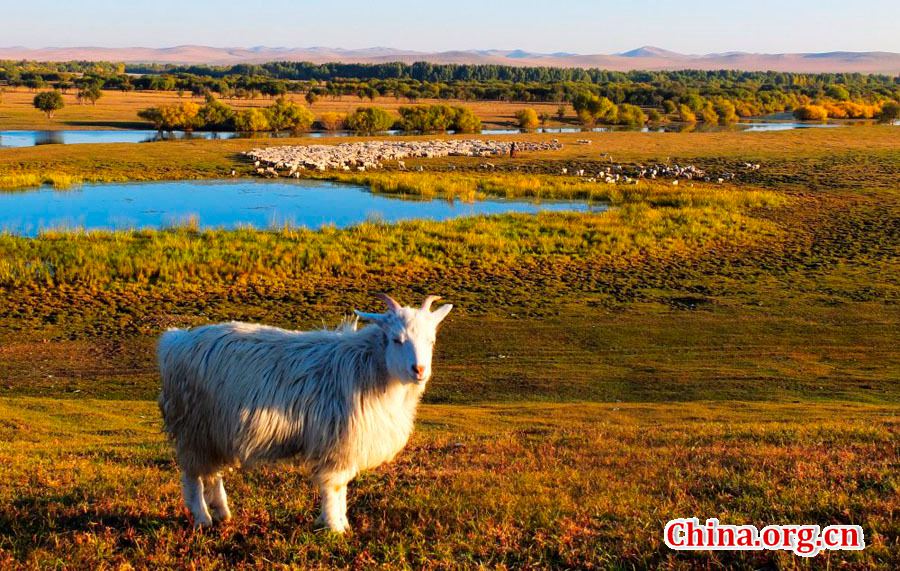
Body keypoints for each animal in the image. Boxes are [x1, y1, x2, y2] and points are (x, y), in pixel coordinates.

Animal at [158, 294, 454, 532]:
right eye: (396, 339)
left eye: (431, 340)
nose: (419, 370)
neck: (369, 366)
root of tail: (175, 341)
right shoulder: (336, 442)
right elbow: (335, 486)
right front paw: (336, 528)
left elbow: (341, 488)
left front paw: (339, 523)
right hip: (193, 427)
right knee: (193, 476)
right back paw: (202, 519)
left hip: (214, 432)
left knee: (212, 473)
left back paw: (223, 513)